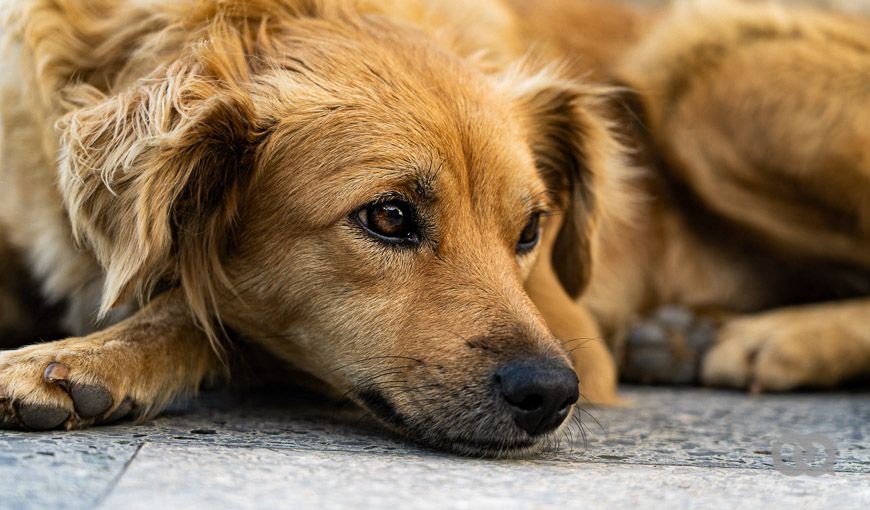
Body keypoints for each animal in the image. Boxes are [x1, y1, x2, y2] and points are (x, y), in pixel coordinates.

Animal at [0, 0, 868, 454]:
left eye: (530, 231)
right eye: (388, 216)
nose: (552, 394)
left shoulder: (573, 330)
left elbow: (206, 314)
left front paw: (85, 358)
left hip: (695, 68)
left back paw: (767, 341)